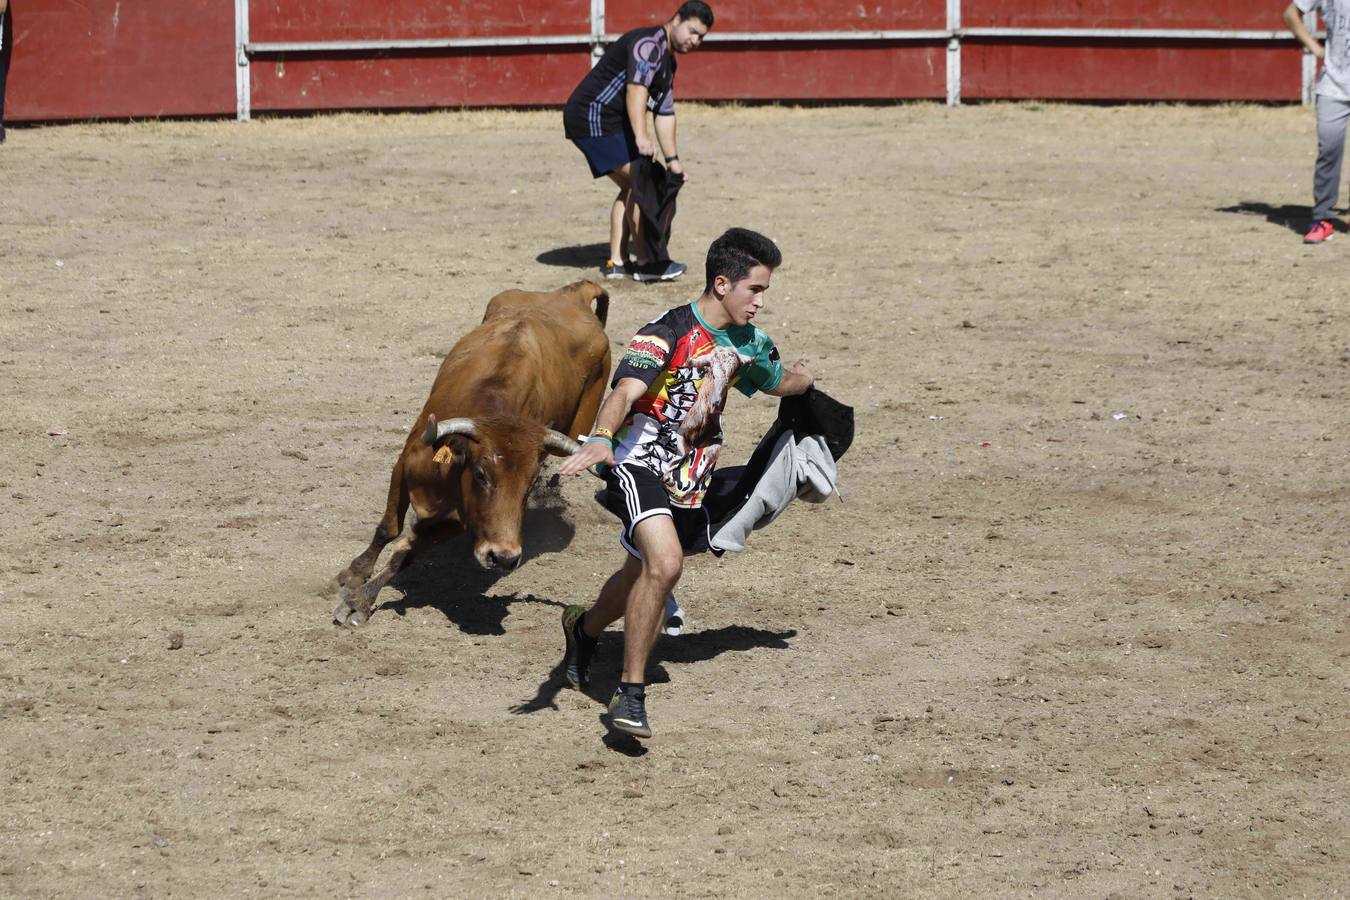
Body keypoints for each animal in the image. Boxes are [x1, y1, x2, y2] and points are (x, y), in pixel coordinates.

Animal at [332, 279, 612, 626]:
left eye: (530, 485)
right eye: (480, 474)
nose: (504, 558)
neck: (448, 469)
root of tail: (574, 293)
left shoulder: (460, 519)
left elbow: (405, 552)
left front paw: (361, 600)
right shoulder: (404, 466)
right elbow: (389, 528)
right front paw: (355, 574)